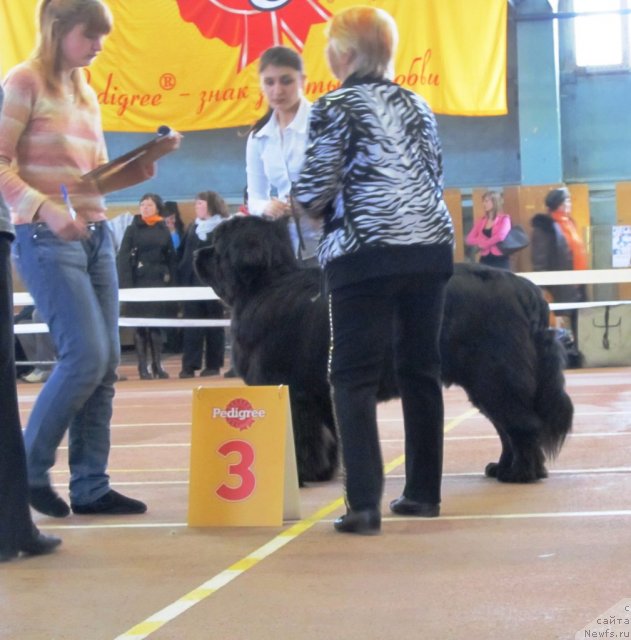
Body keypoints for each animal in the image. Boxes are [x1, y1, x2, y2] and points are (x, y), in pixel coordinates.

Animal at [195, 215, 576, 484]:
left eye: (217, 245)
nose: (198, 253)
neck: (265, 286)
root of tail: (524, 288)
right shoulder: (319, 392)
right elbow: (326, 436)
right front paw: (320, 473)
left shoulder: (293, 391)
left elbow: (303, 437)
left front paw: (301, 475)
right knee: (508, 426)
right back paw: (503, 468)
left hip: (493, 375)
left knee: (523, 424)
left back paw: (521, 473)